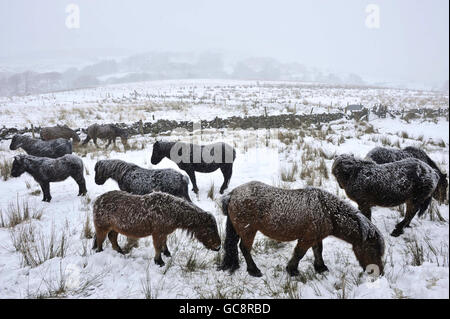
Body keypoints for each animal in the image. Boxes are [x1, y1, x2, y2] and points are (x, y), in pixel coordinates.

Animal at [92, 190, 221, 268]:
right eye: (210, 228)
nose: (218, 247)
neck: (173, 211)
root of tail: (97, 200)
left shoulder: (163, 233)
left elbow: (164, 243)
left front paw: (167, 253)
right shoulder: (158, 233)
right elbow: (158, 247)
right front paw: (159, 261)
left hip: (114, 228)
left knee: (112, 238)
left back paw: (120, 251)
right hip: (102, 227)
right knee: (100, 240)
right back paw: (100, 251)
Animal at [218, 182, 384, 278]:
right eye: (373, 250)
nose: (379, 273)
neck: (327, 211)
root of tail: (232, 194)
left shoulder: (316, 237)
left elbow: (318, 251)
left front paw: (320, 268)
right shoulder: (307, 238)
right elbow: (299, 253)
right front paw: (292, 270)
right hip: (248, 231)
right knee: (244, 248)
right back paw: (254, 270)